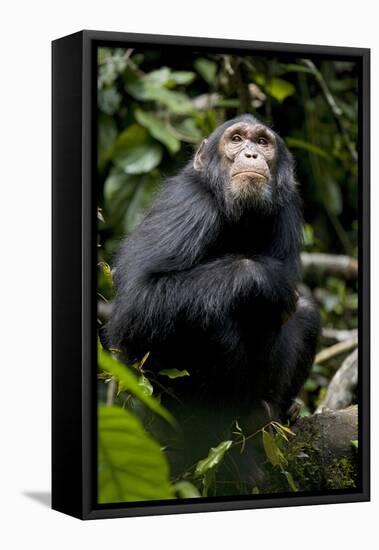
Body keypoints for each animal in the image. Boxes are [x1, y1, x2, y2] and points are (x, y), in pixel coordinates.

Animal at [106, 114, 320, 486]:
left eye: (262, 142)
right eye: (236, 139)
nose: (251, 153)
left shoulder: (288, 212)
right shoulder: (189, 208)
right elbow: (139, 300)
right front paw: (266, 279)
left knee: (306, 313)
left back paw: (273, 416)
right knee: (211, 324)